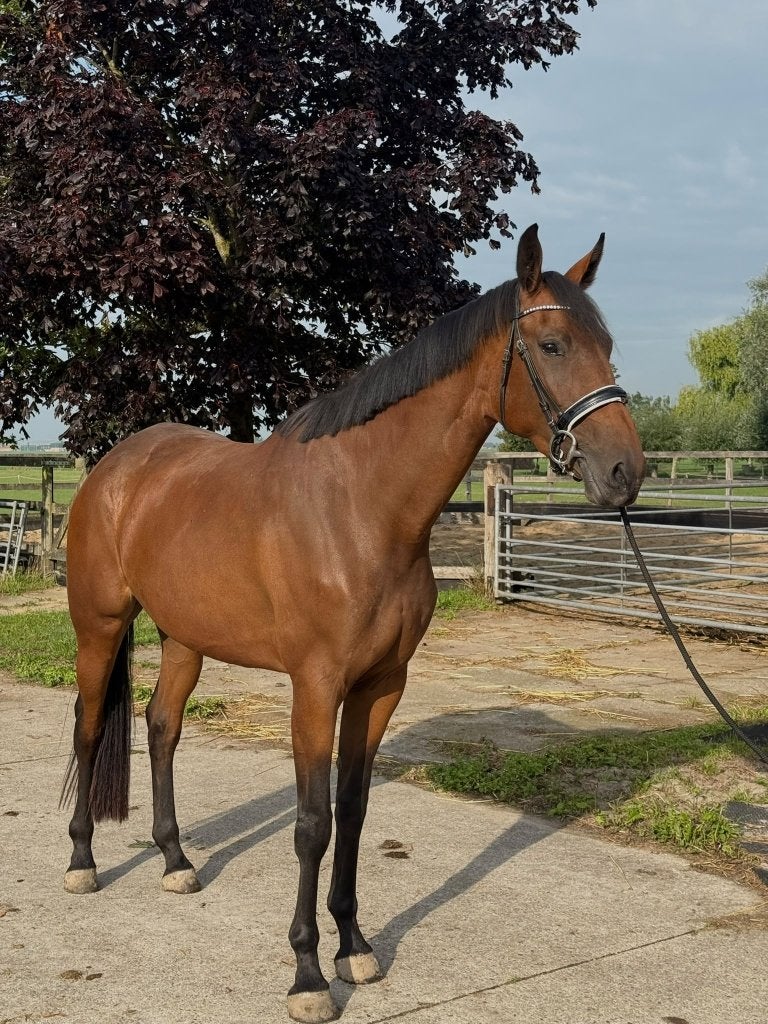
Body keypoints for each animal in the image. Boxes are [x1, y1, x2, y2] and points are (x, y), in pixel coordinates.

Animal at [61, 225, 645, 1023]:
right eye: (553, 345)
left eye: (609, 345)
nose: (626, 472)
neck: (363, 508)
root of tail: (114, 468)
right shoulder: (316, 686)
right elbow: (312, 824)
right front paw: (308, 974)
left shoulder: (380, 686)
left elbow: (354, 811)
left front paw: (355, 947)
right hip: (100, 624)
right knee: (90, 727)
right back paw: (82, 862)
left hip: (184, 638)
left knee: (161, 727)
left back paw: (177, 861)